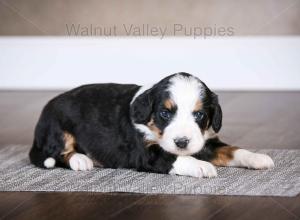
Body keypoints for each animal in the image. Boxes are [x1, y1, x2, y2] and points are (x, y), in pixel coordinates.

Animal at [28, 72, 274, 177]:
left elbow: (233, 150)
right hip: (58, 128)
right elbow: (173, 157)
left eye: (199, 115)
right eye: (165, 113)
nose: (182, 142)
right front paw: (200, 166)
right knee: (58, 153)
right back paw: (80, 160)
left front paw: (258, 158)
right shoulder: (145, 152)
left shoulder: (205, 142)